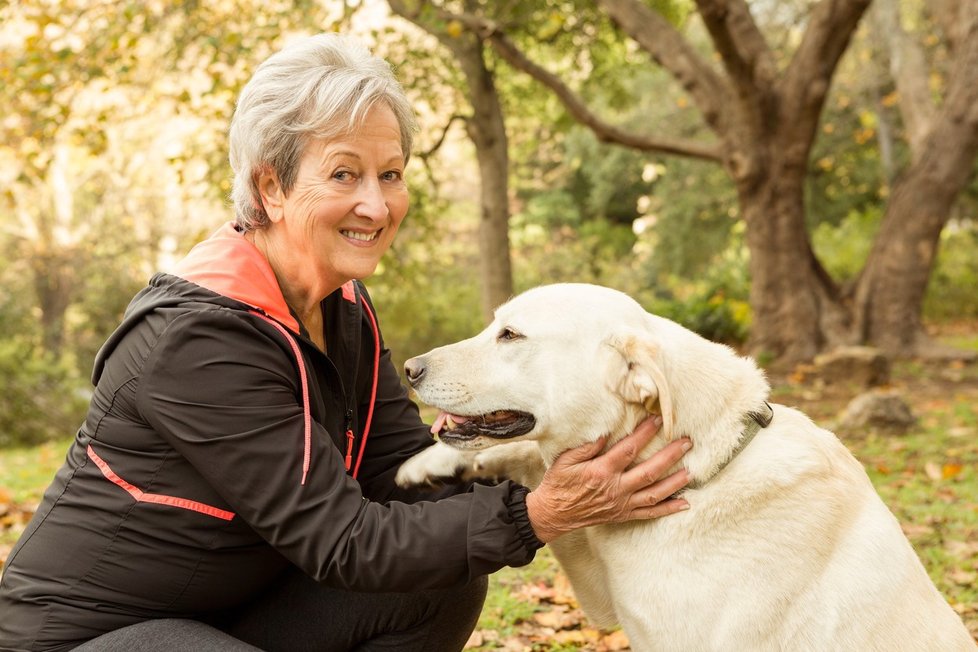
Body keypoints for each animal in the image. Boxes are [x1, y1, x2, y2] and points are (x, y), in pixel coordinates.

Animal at [392, 282, 972, 648]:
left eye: (510, 335)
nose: (409, 368)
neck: (703, 473)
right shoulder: (600, 593)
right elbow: (533, 463)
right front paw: (437, 463)